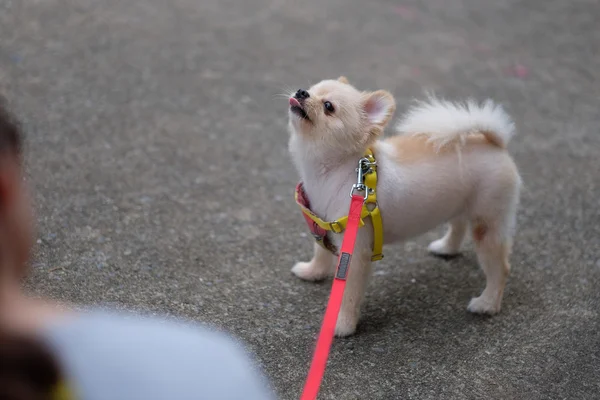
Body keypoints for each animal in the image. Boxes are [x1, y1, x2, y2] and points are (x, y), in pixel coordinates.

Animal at [286, 76, 520, 336]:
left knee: (500, 268)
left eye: (328, 106)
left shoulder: (355, 250)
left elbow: (348, 293)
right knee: (458, 225)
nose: (302, 92)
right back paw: (446, 248)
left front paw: (342, 325)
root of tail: (493, 143)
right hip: (460, 204)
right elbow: (321, 252)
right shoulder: (323, 224)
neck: (334, 172)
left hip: (487, 224)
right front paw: (312, 272)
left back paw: (487, 304)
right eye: (312, 89)